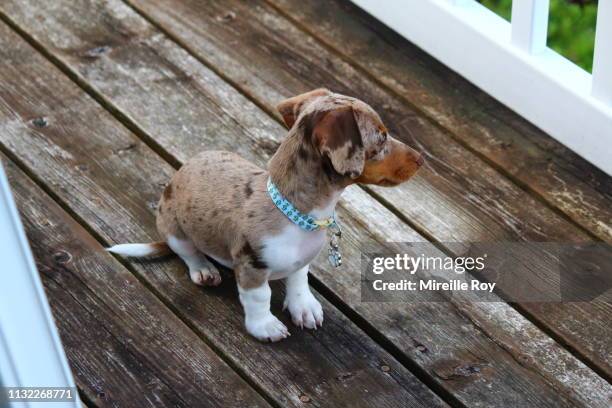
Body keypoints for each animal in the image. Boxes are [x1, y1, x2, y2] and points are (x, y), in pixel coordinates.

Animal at [107, 88, 424, 342]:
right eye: (382, 137)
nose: (422, 160)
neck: (299, 215)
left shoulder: (301, 262)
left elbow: (299, 279)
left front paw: (303, 307)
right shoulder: (252, 265)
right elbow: (260, 297)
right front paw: (265, 326)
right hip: (174, 228)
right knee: (188, 252)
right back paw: (204, 270)